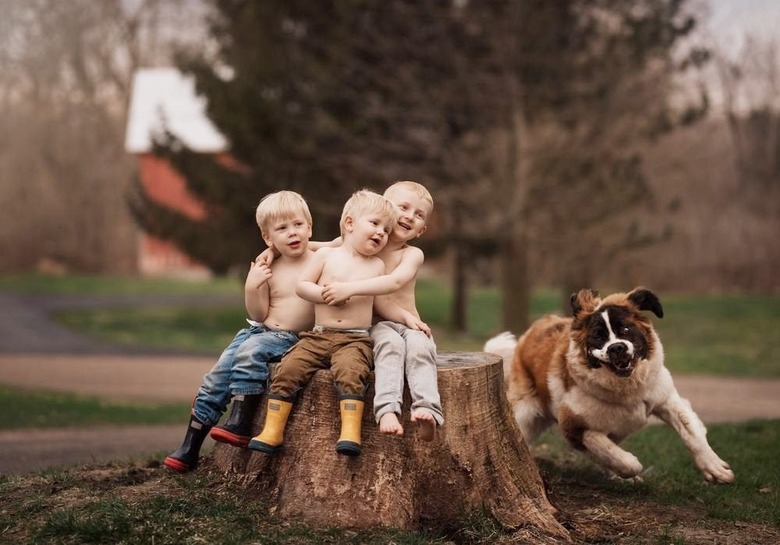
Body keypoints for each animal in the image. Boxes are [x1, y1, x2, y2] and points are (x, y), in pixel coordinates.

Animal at [484, 286, 736, 482]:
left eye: (625, 329)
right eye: (598, 336)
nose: (617, 348)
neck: (626, 388)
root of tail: (531, 332)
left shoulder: (665, 398)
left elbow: (690, 431)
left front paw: (713, 467)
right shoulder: (574, 426)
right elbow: (610, 452)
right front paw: (629, 468)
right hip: (524, 416)